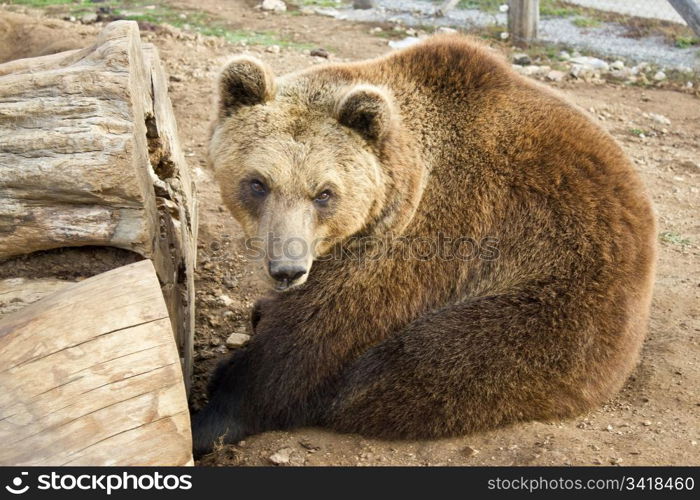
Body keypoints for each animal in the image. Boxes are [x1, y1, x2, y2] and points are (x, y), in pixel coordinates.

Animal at [193, 35, 656, 458]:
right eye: (258, 183)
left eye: (324, 193)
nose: (287, 269)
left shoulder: (425, 243)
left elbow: (309, 345)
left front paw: (214, 412)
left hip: (556, 310)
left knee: (410, 368)